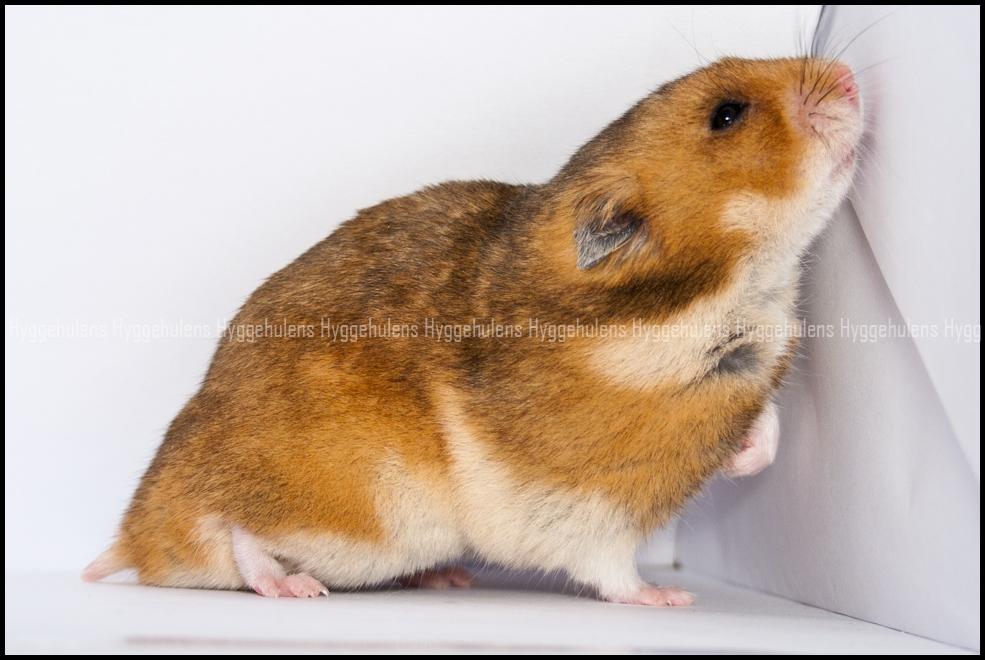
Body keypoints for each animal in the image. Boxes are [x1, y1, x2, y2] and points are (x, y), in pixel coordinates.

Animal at [84, 56, 863, 605]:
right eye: (727, 115)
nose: (853, 77)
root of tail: (135, 534)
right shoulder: (593, 511)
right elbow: (613, 571)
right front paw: (671, 600)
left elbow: (766, 429)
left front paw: (746, 458)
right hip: (348, 511)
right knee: (234, 530)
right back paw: (293, 586)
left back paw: (443, 579)